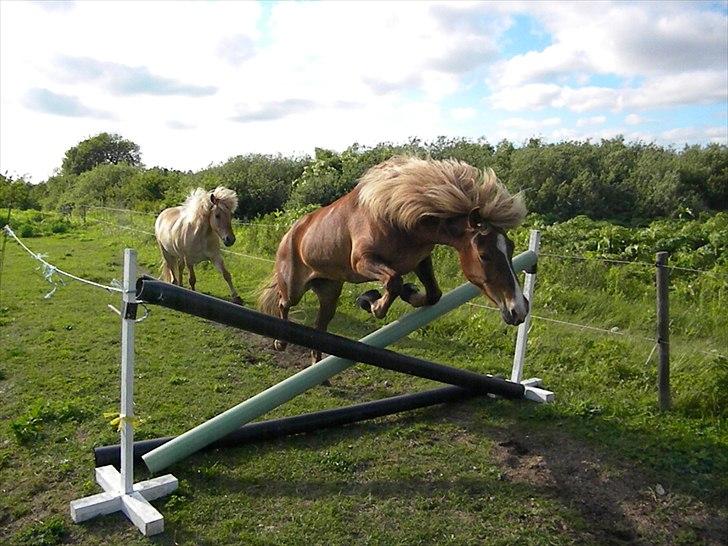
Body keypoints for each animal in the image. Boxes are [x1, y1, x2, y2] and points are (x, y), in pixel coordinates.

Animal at [258, 156, 528, 362]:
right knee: (283, 303)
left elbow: (433, 294)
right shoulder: (362, 261)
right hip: (294, 287)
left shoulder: (419, 260)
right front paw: (370, 301)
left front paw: (409, 293)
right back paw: (280, 343)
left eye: (511, 248)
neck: (398, 218)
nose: (519, 310)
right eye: (484, 255)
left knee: (320, 326)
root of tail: (291, 232)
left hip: (329, 292)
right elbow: (393, 281)